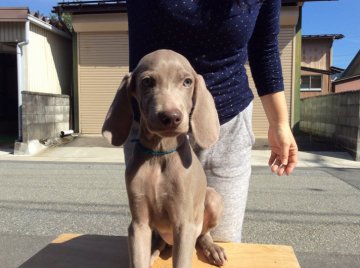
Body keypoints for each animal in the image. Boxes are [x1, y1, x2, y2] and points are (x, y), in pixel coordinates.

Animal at [102, 49, 225, 266]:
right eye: (147, 82)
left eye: (187, 82)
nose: (171, 117)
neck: (159, 154)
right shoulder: (139, 223)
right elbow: (138, 260)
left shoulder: (184, 224)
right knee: (158, 244)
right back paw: (153, 253)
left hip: (212, 198)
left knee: (203, 234)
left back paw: (212, 248)